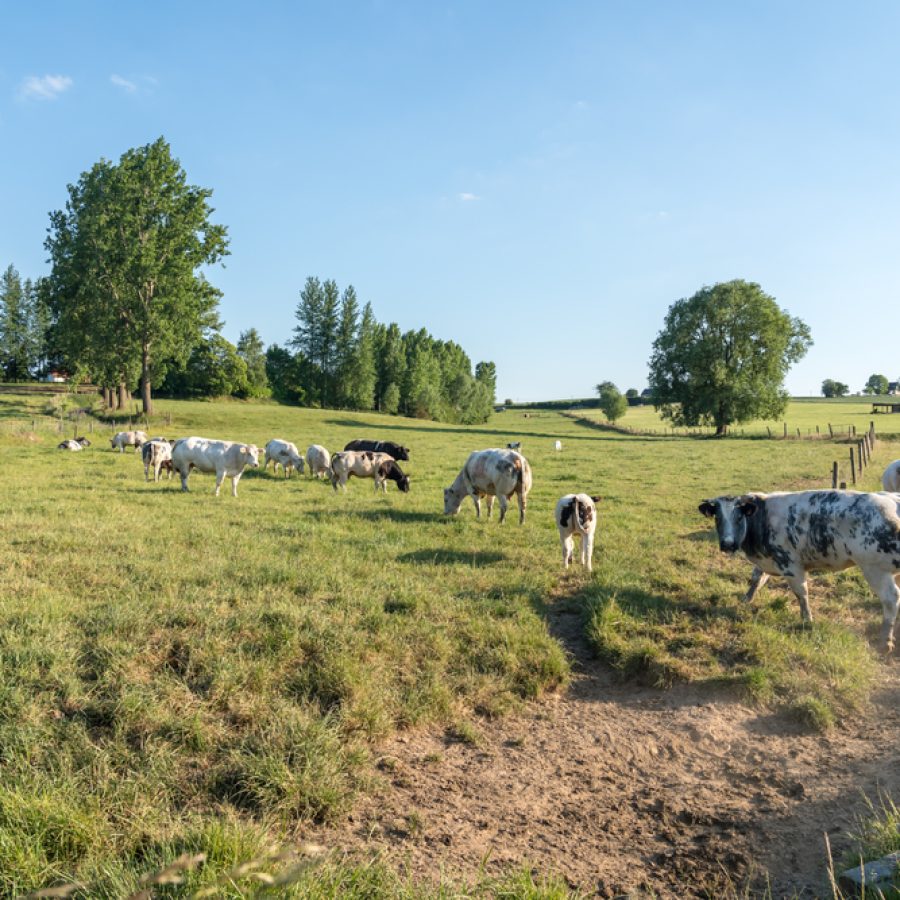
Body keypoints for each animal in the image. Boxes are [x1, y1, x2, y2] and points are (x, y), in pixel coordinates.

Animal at [699, 490, 900, 653]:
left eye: (739, 518)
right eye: (717, 518)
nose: (728, 544)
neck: (761, 518)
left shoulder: (791, 566)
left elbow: (801, 594)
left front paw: (807, 619)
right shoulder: (768, 561)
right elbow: (756, 578)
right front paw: (746, 599)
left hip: (875, 569)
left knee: (891, 598)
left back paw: (885, 641)